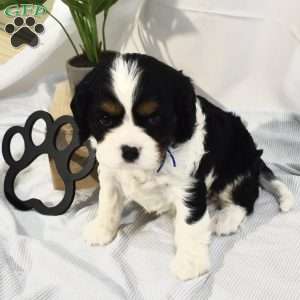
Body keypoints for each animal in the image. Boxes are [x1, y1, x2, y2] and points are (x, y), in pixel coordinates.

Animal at [71, 52, 294, 282]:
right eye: (105, 118)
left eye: (154, 117)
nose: (129, 150)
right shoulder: (110, 172)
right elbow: (108, 202)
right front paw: (102, 229)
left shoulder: (188, 185)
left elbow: (190, 223)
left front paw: (190, 262)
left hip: (236, 165)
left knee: (246, 199)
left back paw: (226, 219)